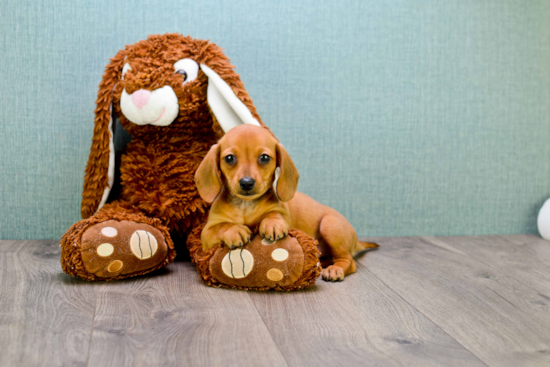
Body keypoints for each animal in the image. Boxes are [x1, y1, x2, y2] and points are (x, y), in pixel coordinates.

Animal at [195, 124, 380, 282]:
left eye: (264, 158)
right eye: (229, 158)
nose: (247, 183)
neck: (245, 206)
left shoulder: (283, 213)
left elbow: (274, 213)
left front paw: (273, 224)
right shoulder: (206, 234)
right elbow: (222, 226)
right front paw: (234, 230)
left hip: (330, 225)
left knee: (349, 261)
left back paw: (335, 269)